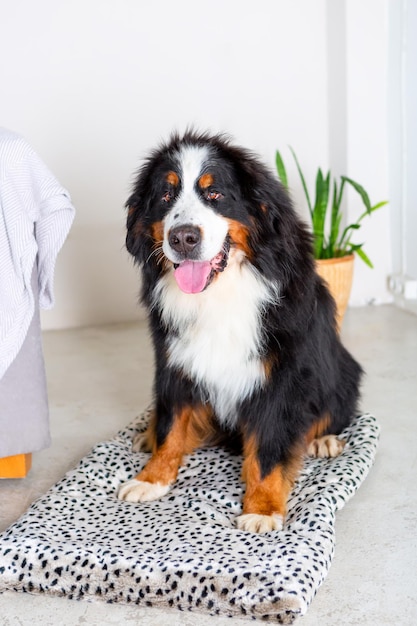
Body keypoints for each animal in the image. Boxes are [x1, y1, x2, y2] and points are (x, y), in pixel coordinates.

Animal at [117, 130, 360, 532]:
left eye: (215, 194)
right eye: (166, 196)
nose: (183, 237)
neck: (219, 292)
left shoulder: (281, 376)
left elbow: (269, 448)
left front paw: (261, 508)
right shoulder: (176, 361)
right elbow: (172, 423)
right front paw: (151, 478)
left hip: (340, 372)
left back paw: (323, 441)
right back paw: (146, 436)